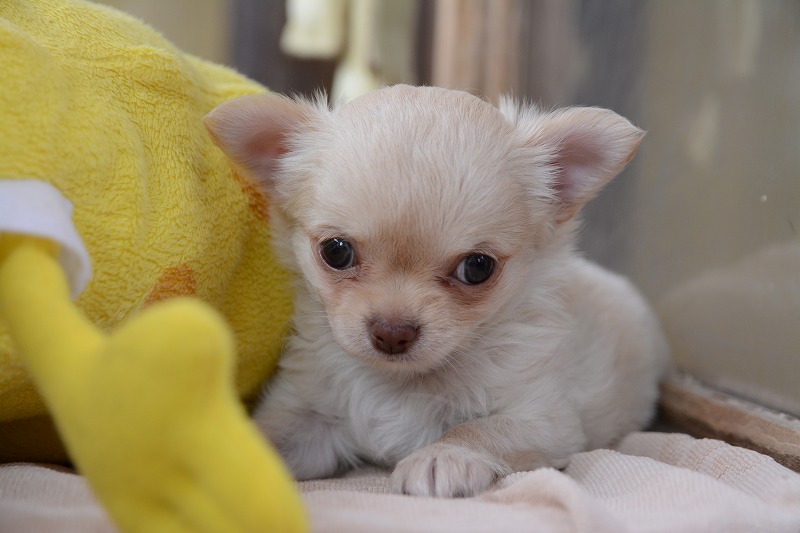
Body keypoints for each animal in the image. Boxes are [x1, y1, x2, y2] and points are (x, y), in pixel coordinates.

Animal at [205, 85, 668, 496]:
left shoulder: (542, 418)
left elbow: (477, 429)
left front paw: (441, 457)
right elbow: (266, 436)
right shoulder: (307, 417)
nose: (392, 332)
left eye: (477, 267)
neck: (400, 383)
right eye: (336, 252)